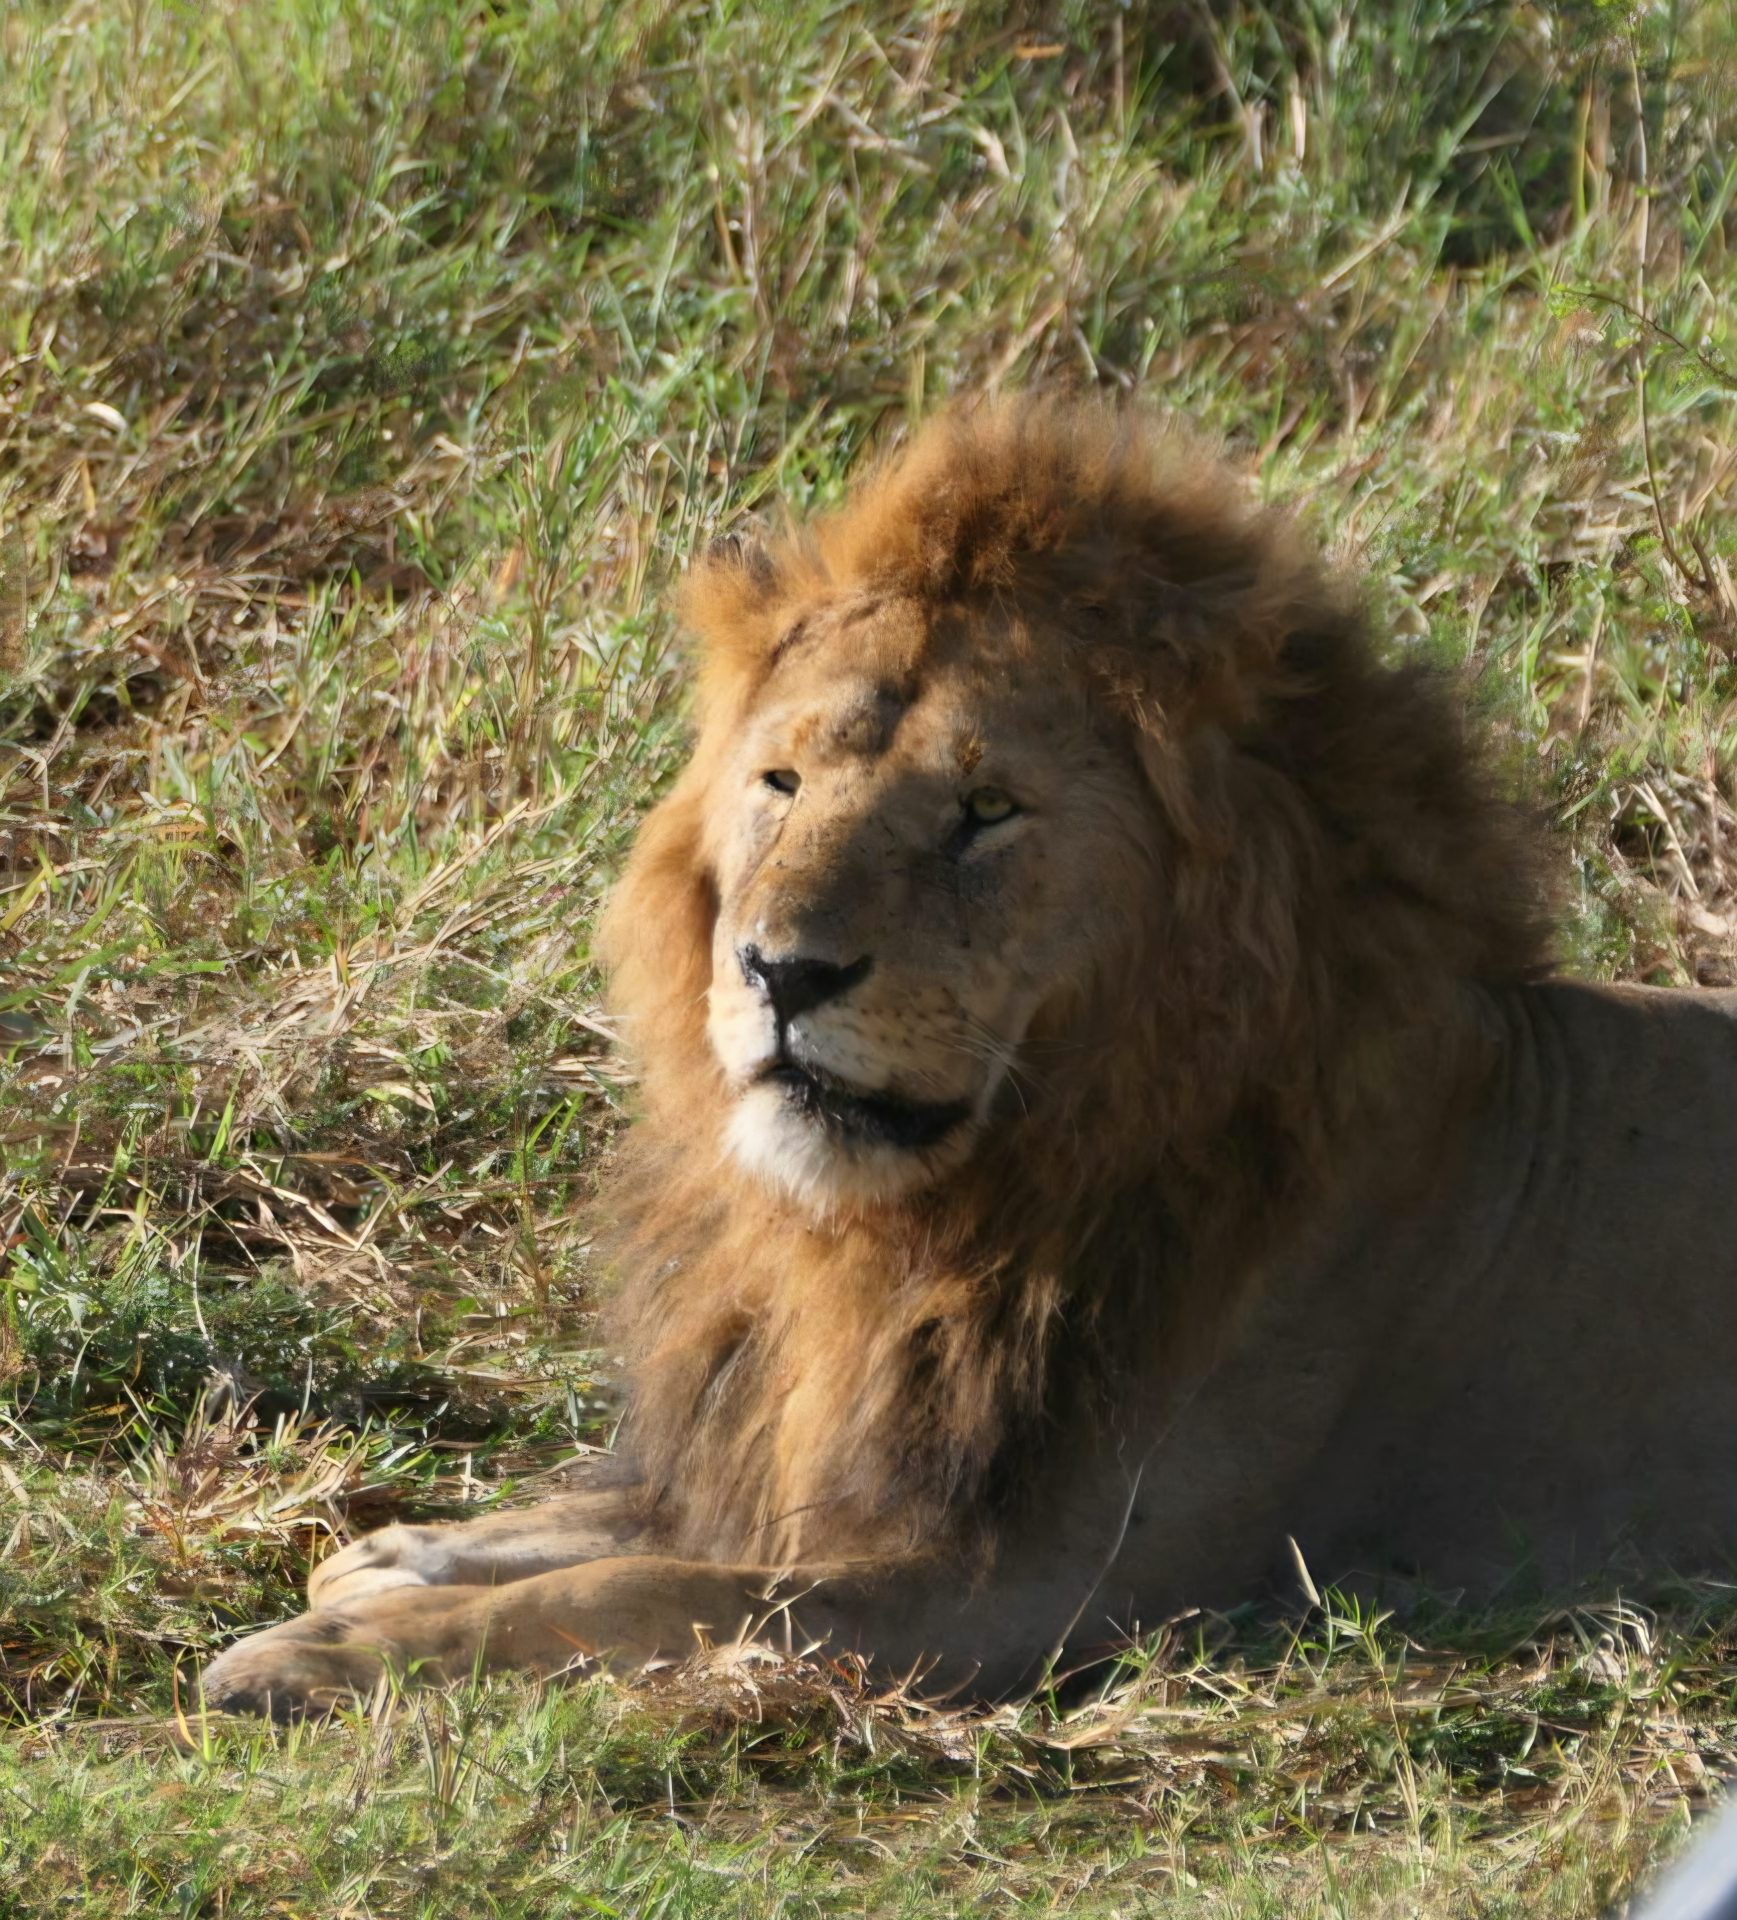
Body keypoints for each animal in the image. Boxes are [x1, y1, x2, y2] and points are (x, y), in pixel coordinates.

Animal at [204, 398, 1737, 1717]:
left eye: (985, 810)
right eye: (781, 783)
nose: (781, 971)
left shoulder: (1034, 1591)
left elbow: (654, 1592)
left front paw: (336, 1650)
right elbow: (625, 1520)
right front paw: (401, 1554)